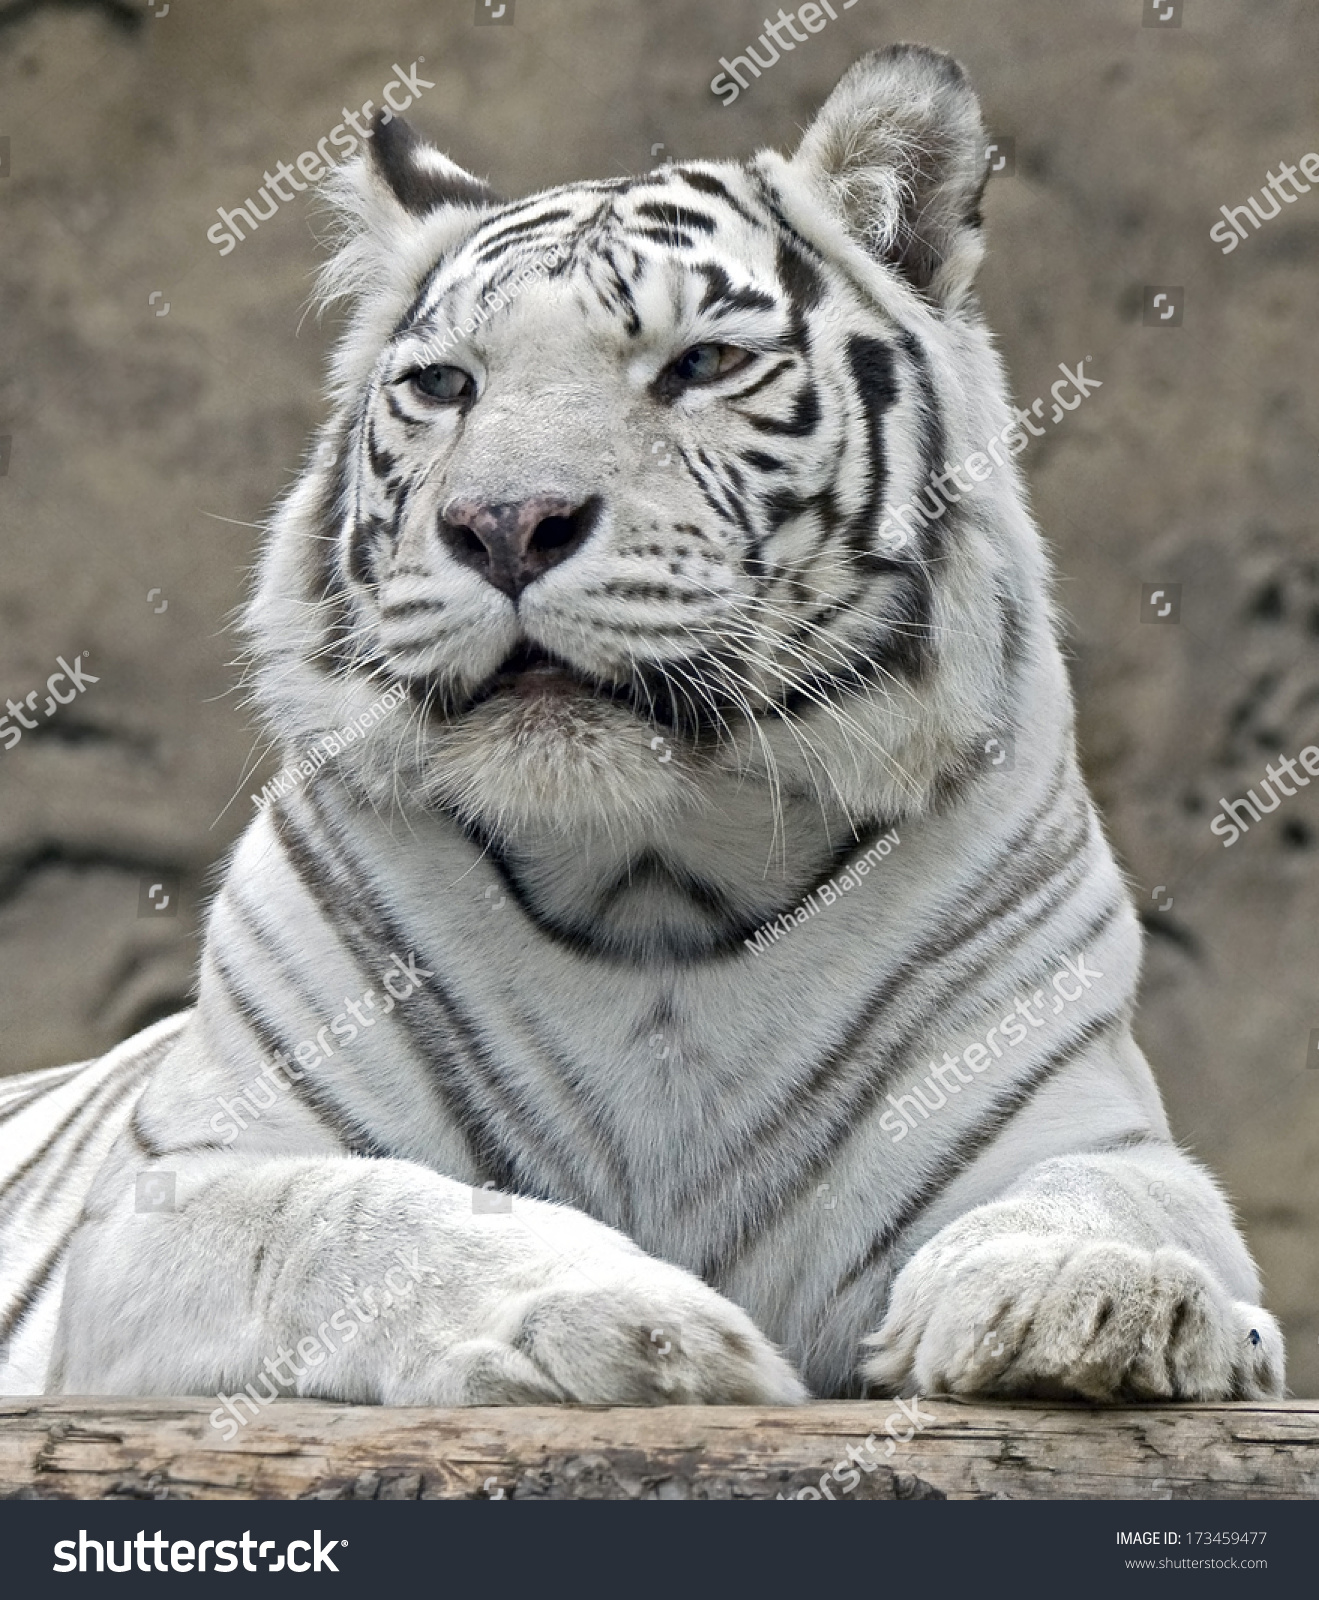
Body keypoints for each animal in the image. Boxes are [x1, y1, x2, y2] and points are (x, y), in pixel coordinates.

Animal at [0, 40, 1280, 1414]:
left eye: (701, 365)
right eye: (445, 385)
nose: (506, 523)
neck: (656, 875)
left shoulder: (1079, 1118)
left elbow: (1117, 1195)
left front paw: (1094, 1297)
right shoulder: (175, 1190)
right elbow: (354, 1217)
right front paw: (636, 1326)